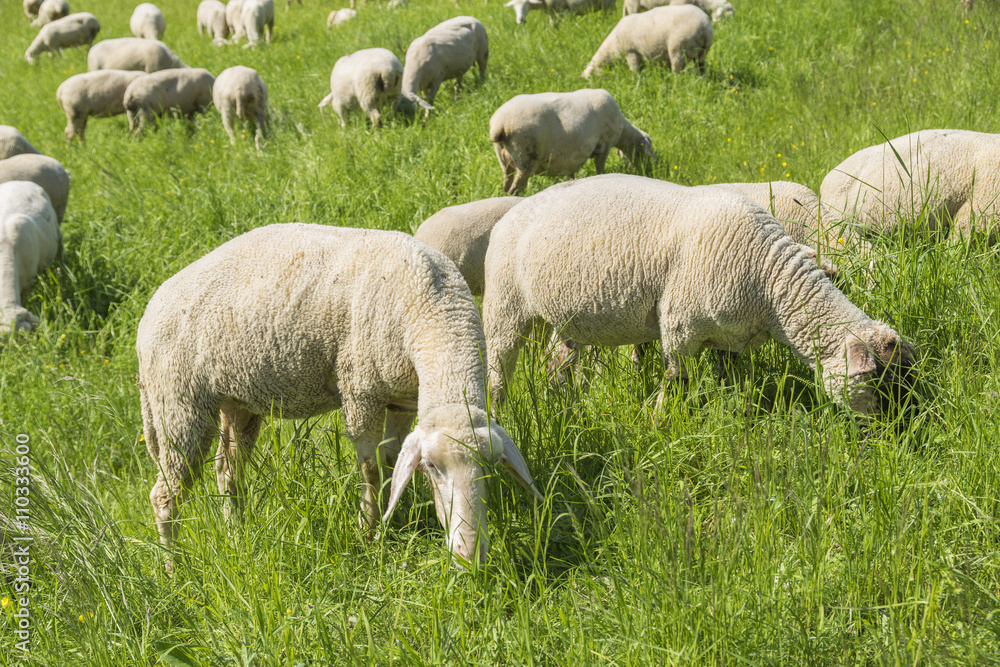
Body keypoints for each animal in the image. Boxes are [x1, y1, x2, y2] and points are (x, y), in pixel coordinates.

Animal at [136, 223, 542, 571]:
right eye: (430, 467)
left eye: (491, 467)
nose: (470, 555)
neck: (434, 309)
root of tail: (146, 318)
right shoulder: (361, 391)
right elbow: (371, 468)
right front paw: (368, 532)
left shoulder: (401, 399)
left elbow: (391, 461)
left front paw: (388, 515)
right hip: (178, 407)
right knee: (163, 496)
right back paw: (173, 570)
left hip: (237, 402)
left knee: (226, 472)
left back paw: (237, 536)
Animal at [483, 174, 916, 415]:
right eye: (882, 386)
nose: (895, 437)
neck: (771, 283)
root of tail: (514, 211)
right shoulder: (679, 325)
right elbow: (677, 380)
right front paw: (659, 420)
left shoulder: (728, 335)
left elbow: (728, 377)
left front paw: (734, 410)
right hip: (504, 306)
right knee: (499, 368)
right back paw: (497, 412)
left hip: (568, 318)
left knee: (556, 361)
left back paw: (565, 405)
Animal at [489, 89, 656, 195]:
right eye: (644, 151)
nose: (650, 168)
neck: (623, 131)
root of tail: (499, 124)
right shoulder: (604, 145)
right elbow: (600, 167)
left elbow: (571, 174)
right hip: (526, 157)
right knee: (516, 189)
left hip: (504, 160)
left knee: (507, 185)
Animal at [582, 4, 712, 78]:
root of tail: (704, 26)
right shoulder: (641, 56)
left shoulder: (631, 53)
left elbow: (634, 71)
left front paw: (635, 83)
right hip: (702, 52)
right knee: (701, 67)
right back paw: (702, 81)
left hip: (679, 48)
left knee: (677, 71)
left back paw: (675, 87)